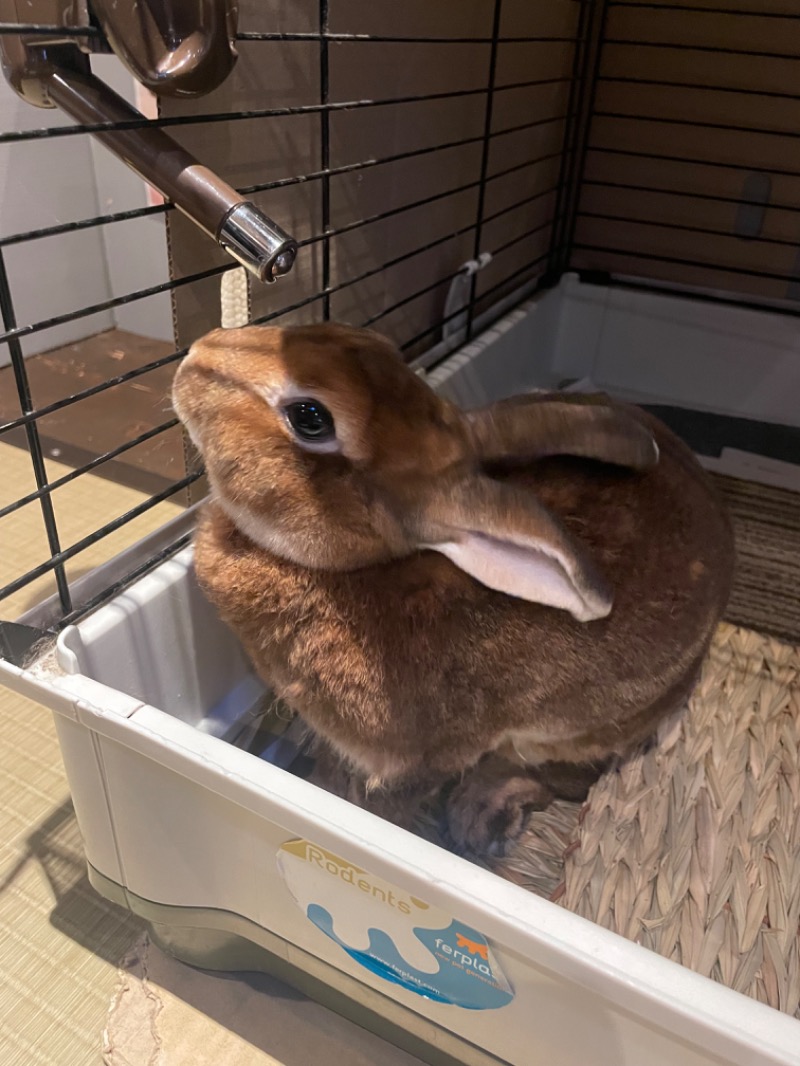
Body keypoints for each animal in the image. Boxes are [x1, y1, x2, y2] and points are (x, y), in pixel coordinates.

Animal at [172, 324, 738, 857]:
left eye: (310, 417)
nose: (196, 355)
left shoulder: (419, 763)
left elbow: (380, 805)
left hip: (577, 734)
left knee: (563, 778)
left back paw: (482, 815)